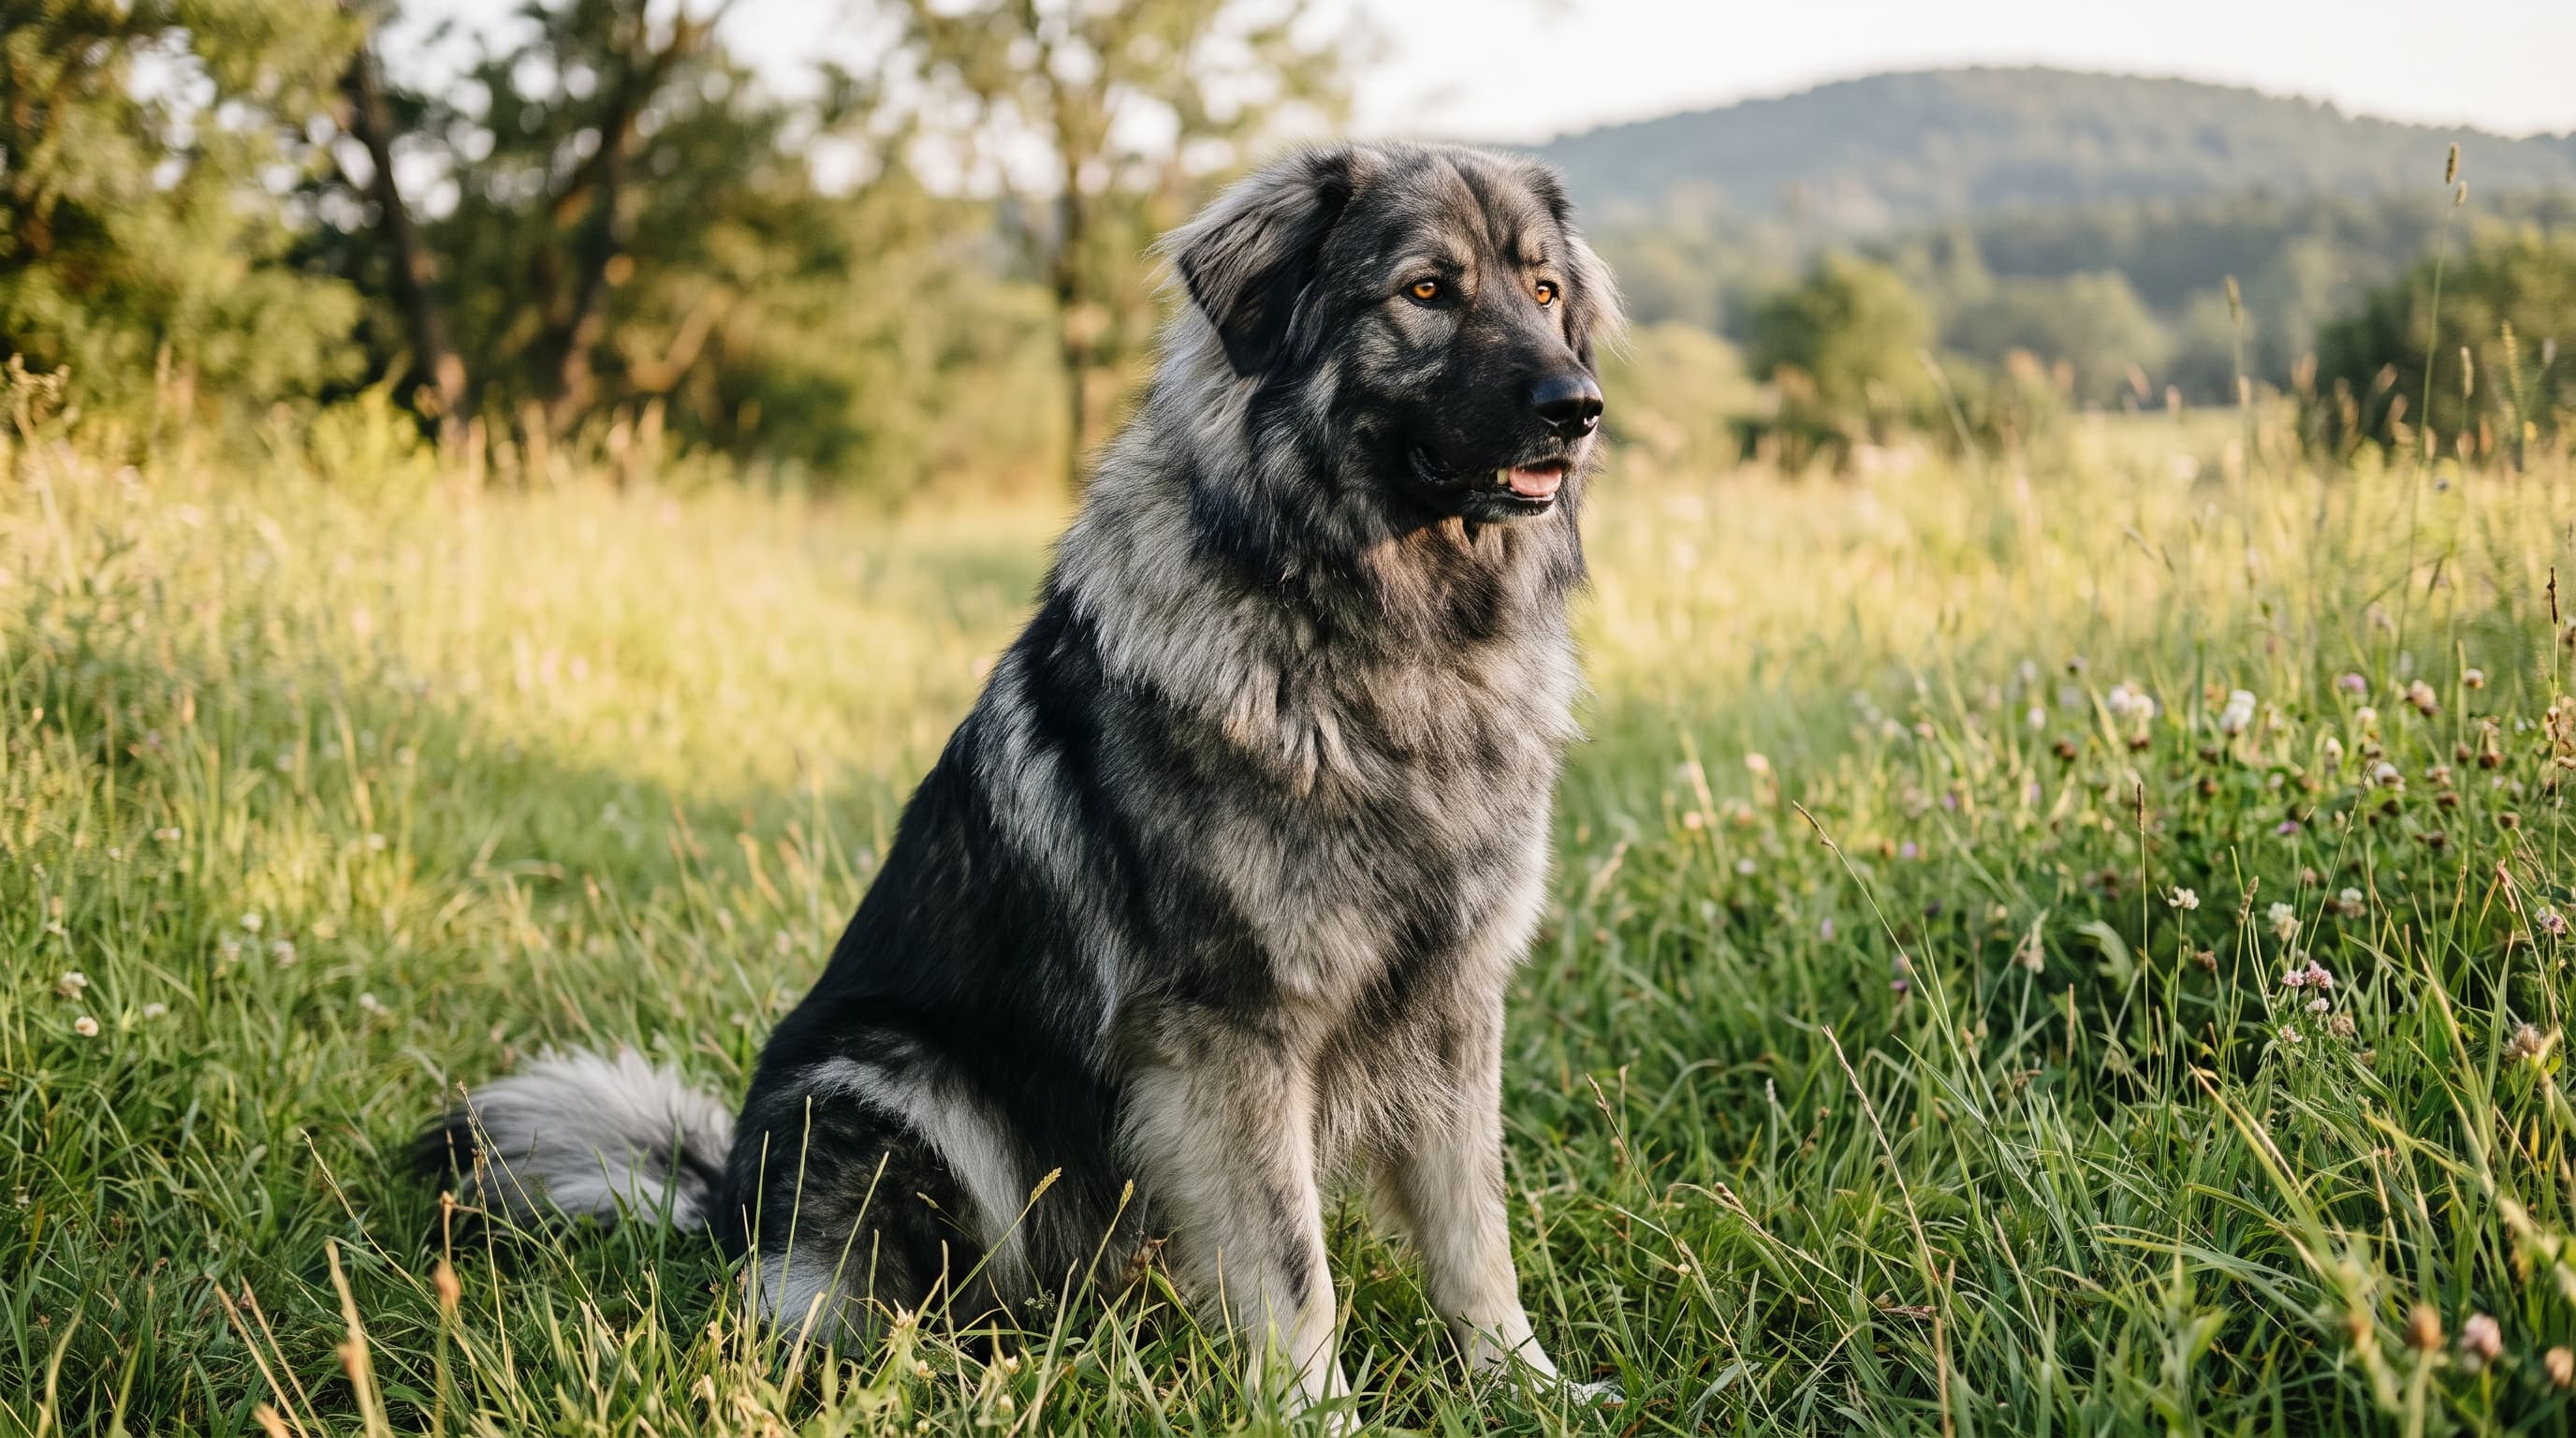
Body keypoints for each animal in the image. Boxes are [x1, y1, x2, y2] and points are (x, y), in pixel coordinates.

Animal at [421, 139, 1619, 1421]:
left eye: (1544, 291)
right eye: (1426, 291)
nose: (1577, 409)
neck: (1391, 636)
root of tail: (727, 1199)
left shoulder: (1453, 1007)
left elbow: (1473, 1232)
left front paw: (1525, 1385)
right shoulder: (1232, 1033)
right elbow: (1296, 1268)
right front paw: (1315, 1414)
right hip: (894, 1091)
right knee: (861, 1316)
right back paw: (977, 1378)